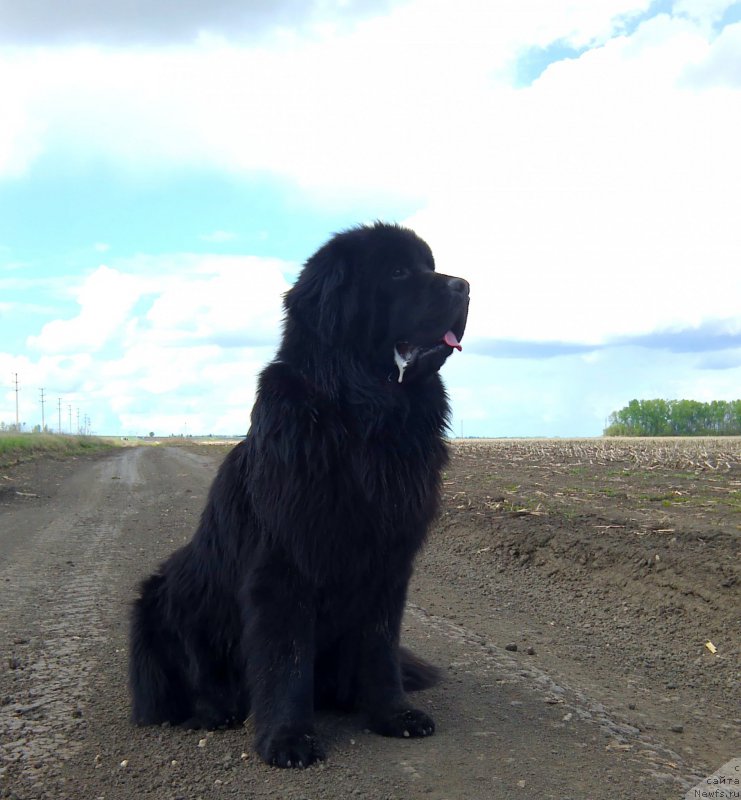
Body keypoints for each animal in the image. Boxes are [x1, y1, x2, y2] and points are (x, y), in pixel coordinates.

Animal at [129, 222, 468, 764]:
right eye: (397, 271)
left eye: (429, 266)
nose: (465, 286)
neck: (365, 420)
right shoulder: (284, 565)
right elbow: (285, 658)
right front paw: (288, 739)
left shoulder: (389, 564)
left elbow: (379, 648)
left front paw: (392, 715)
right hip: (160, 598)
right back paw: (215, 710)